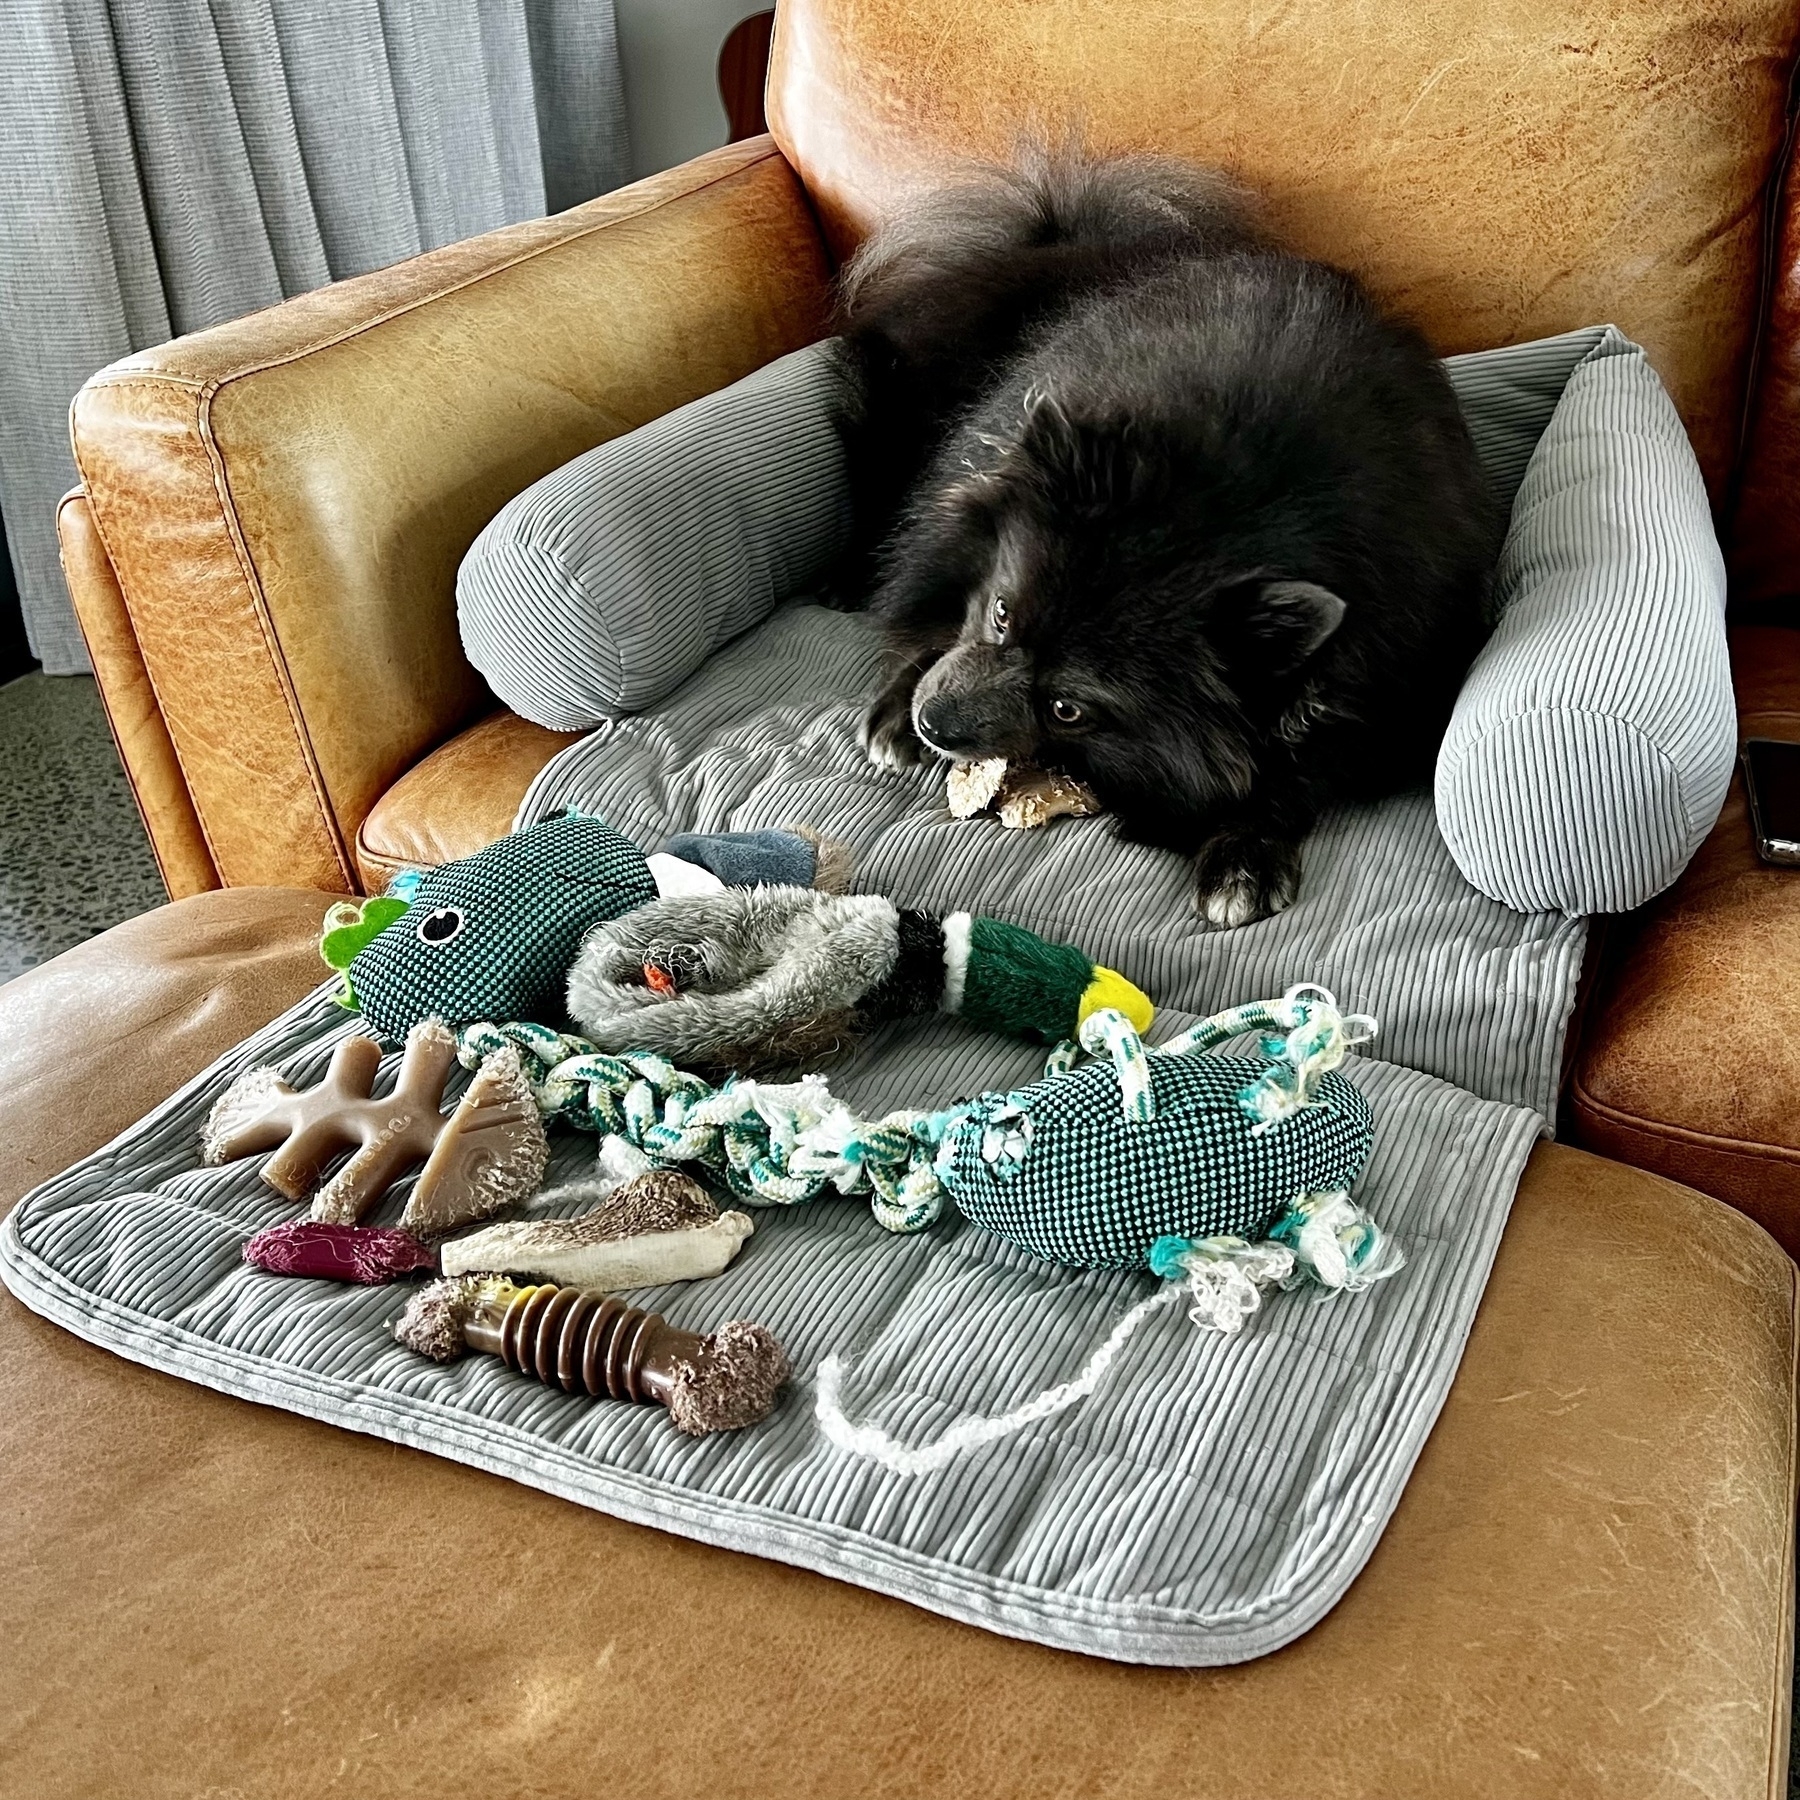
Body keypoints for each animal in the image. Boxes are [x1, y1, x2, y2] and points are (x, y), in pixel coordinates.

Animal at [838, 154, 1490, 928]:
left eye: (1068, 709)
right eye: (1001, 614)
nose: (934, 723)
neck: (1243, 500)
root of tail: (1058, 237)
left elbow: (1297, 765)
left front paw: (1245, 851)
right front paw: (895, 705)